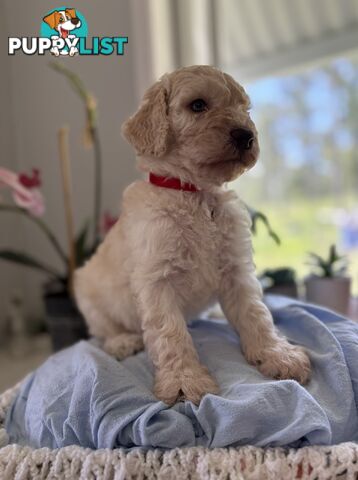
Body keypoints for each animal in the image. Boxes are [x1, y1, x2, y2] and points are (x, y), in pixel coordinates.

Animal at [75, 65, 310, 404]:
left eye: (244, 109)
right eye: (197, 105)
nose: (246, 135)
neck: (195, 194)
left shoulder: (237, 268)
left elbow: (256, 314)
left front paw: (278, 355)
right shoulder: (157, 279)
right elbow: (170, 333)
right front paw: (184, 381)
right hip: (90, 296)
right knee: (103, 330)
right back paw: (122, 341)